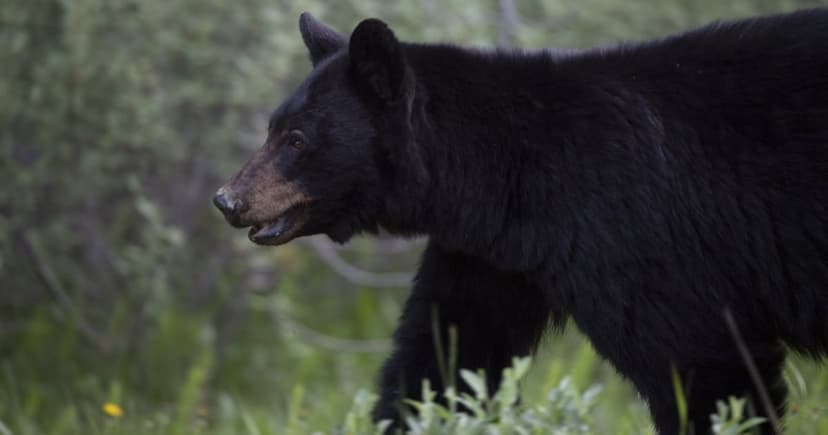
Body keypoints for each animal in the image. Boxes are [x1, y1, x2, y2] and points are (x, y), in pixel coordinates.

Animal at [213, 9, 828, 434]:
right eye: (273, 127)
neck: (509, 176)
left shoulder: (636, 233)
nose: (226, 199)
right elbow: (446, 358)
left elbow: (700, 361)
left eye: (296, 140)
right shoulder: (492, 256)